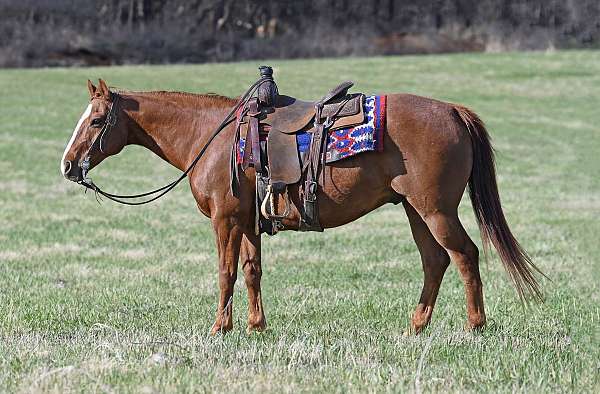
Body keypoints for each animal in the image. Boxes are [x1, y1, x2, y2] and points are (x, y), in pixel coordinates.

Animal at [61, 78, 544, 334]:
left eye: (97, 120)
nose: (67, 165)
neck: (212, 138)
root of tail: (453, 110)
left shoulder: (225, 219)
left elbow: (226, 270)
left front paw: (220, 328)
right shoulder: (248, 222)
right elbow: (252, 270)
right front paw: (256, 326)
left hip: (436, 209)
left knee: (464, 255)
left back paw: (474, 326)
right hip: (415, 210)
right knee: (435, 261)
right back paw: (416, 326)